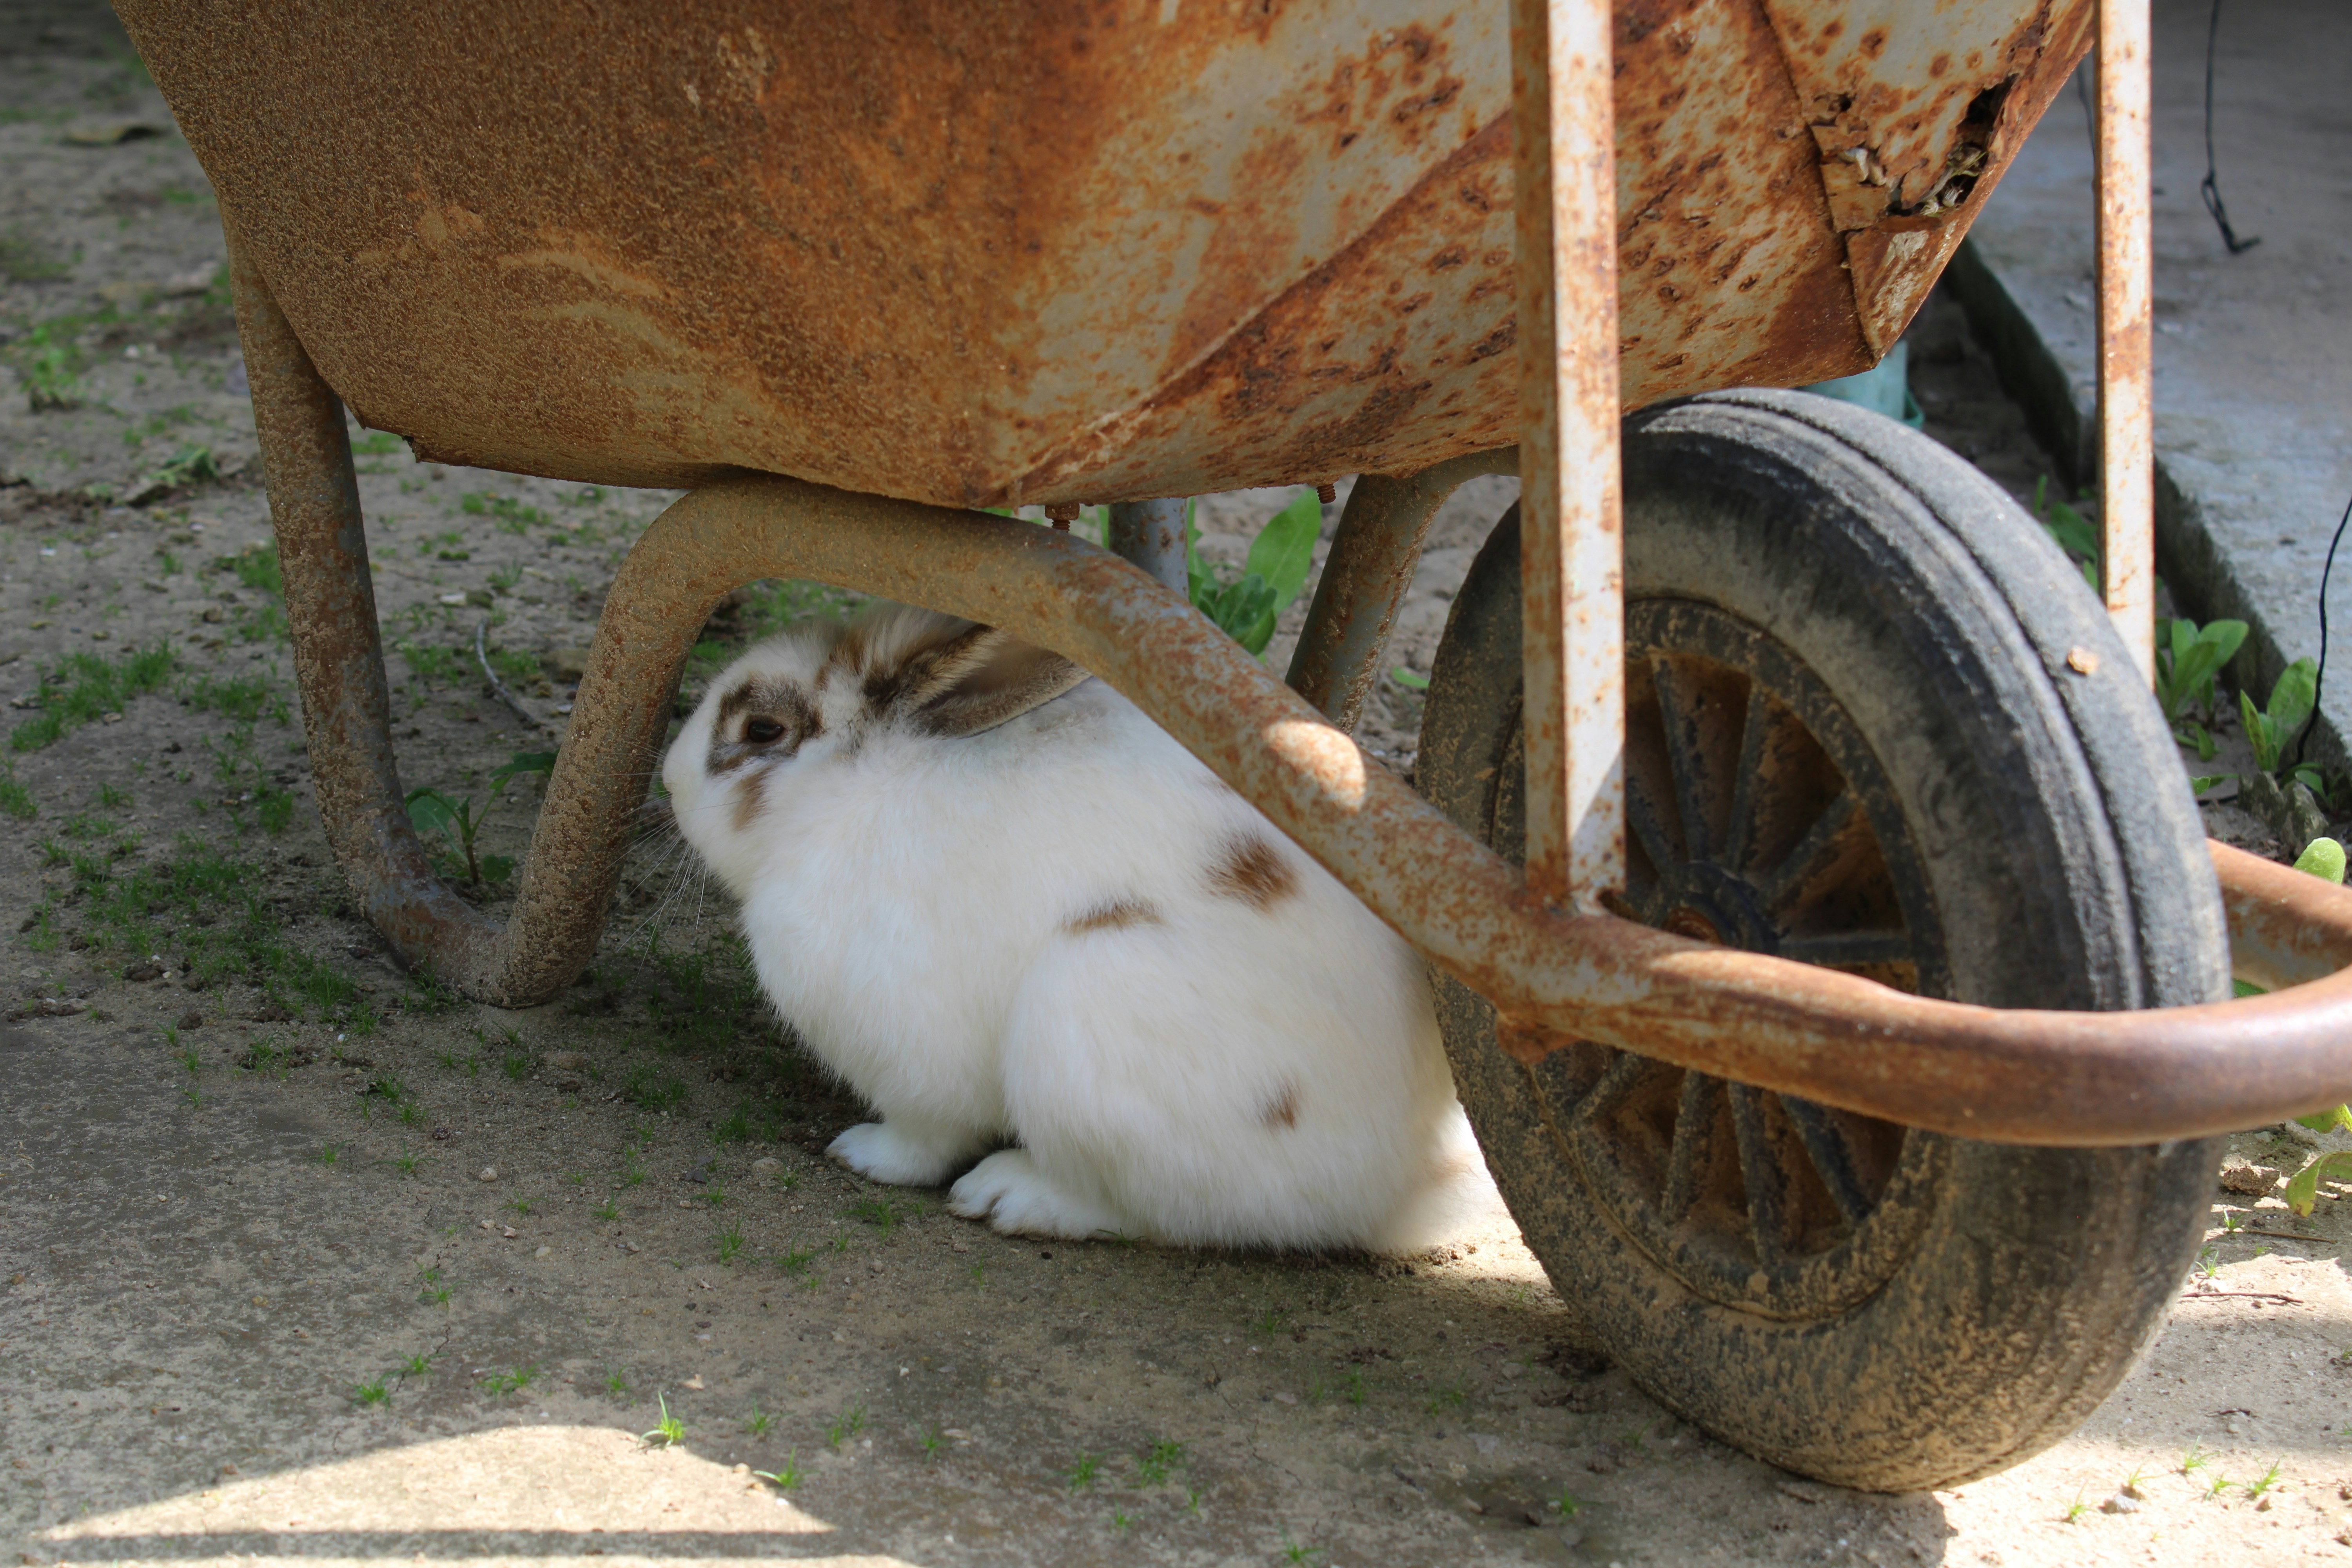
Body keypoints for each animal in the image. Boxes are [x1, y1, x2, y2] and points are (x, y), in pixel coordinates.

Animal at [659, 599, 1495, 1251]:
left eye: (762, 730)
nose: (666, 779)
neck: (849, 794)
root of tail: (1418, 1178)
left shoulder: (909, 1049)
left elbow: (922, 1135)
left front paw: (862, 1154)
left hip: (1090, 1024)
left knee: (1163, 1212)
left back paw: (1010, 1195)